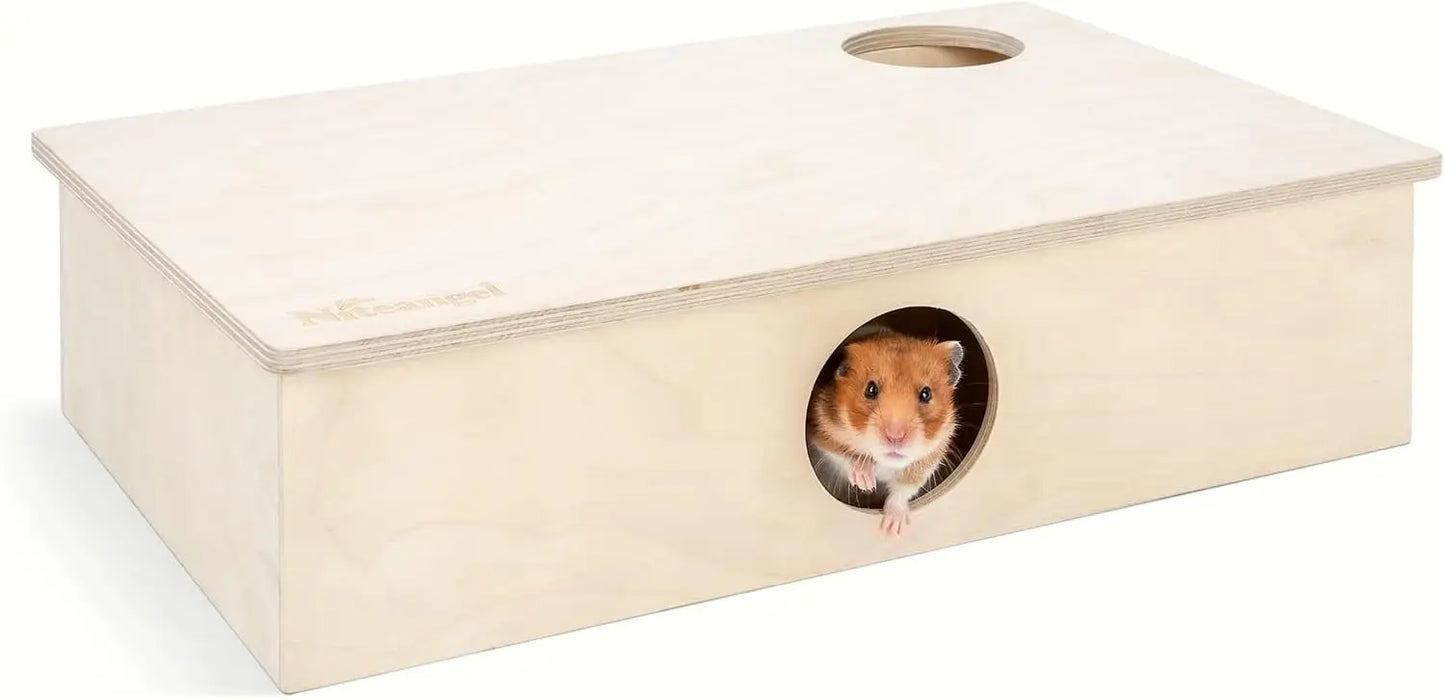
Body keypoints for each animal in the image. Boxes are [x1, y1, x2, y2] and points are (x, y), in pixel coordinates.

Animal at [806, 325, 965, 536]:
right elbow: (843, 454)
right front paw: (867, 484)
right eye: (870, 389)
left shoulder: (928, 460)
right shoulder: (821, 430)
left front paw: (891, 528)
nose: (895, 437)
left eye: (926, 393)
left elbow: (903, 490)